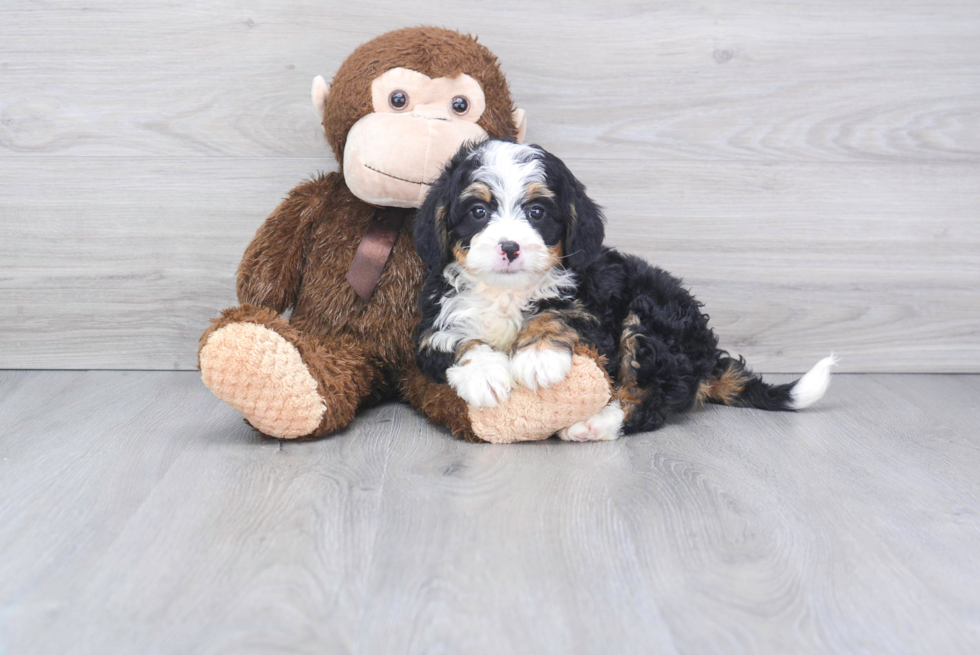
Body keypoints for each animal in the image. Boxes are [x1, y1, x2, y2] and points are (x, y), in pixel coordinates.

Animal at [414, 141, 836, 444]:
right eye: (478, 212)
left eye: (536, 212)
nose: (510, 247)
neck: (507, 292)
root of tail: (705, 361)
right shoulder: (432, 322)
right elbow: (455, 339)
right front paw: (484, 375)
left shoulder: (595, 308)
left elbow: (560, 311)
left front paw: (537, 356)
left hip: (649, 320)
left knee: (649, 401)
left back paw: (595, 423)